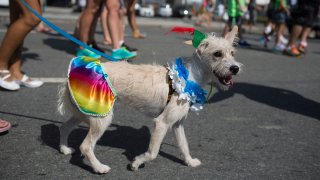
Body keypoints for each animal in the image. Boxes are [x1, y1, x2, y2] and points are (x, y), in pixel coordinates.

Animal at [58, 26, 242, 174]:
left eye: (233, 53)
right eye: (217, 54)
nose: (235, 68)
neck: (190, 76)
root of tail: (72, 75)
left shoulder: (177, 124)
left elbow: (184, 145)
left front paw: (189, 161)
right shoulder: (162, 123)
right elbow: (153, 153)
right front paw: (136, 163)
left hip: (86, 113)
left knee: (64, 126)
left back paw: (64, 149)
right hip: (102, 117)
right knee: (86, 146)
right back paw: (99, 167)